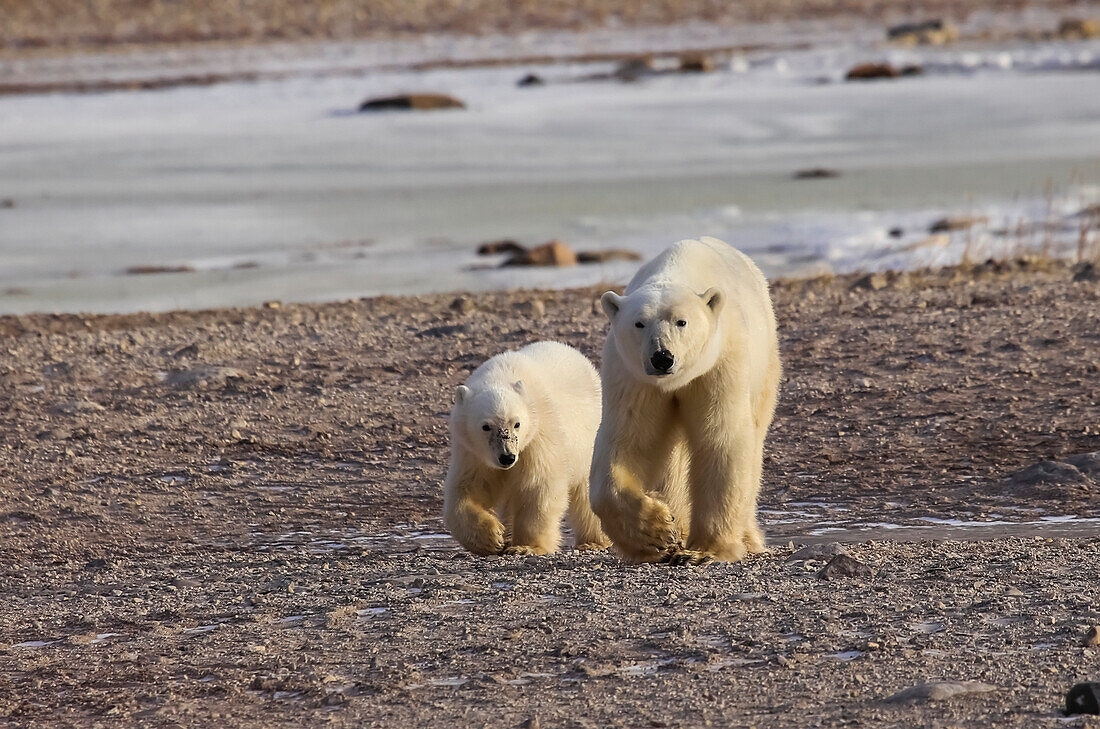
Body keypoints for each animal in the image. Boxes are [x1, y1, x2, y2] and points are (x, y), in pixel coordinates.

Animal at [594, 238, 783, 562]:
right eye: (639, 323)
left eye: (681, 322)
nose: (662, 357)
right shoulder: (633, 377)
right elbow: (629, 439)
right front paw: (656, 533)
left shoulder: (720, 364)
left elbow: (720, 438)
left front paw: (706, 549)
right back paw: (677, 527)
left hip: (765, 366)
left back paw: (748, 537)